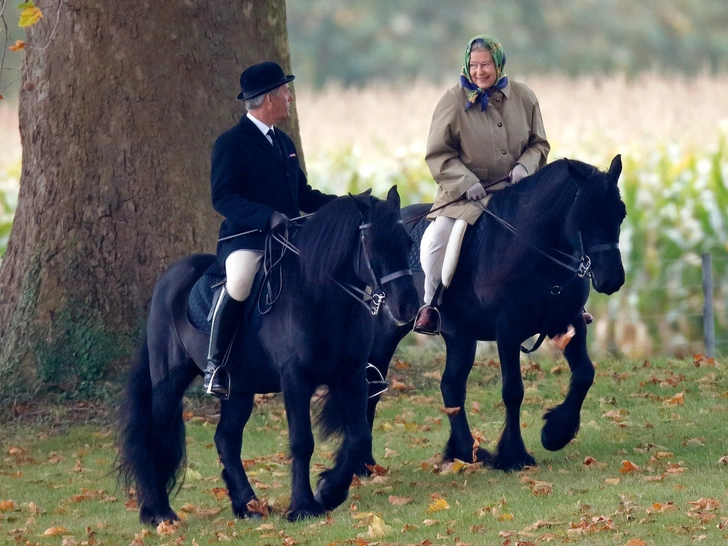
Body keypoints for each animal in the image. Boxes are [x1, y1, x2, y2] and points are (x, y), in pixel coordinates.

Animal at [116, 187, 418, 524]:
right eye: (373, 245)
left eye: (408, 243)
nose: (408, 307)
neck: (320, 296)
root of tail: (167, 279)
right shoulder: (295, 378)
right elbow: (302, 441)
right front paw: (304, 506)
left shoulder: (350, 376)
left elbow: (359, 437)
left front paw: (329, 491)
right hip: (170, 381)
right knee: (157, 435)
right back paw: (159, 512)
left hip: (239, 388)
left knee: (226, 439)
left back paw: (247, 506)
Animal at [360, 155, 624, 470]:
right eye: (583, 216)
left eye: (620, 214)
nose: (612, 280)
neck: (533, 250)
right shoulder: (508, 331)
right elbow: (513, 391)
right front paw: (514, 455)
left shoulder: (570, 322)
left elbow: (585, 373)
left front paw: (555, 433)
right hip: (387, 330)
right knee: (372, 384)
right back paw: (365, 463)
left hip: (460, 335)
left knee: (451, 386)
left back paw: (463, 451)